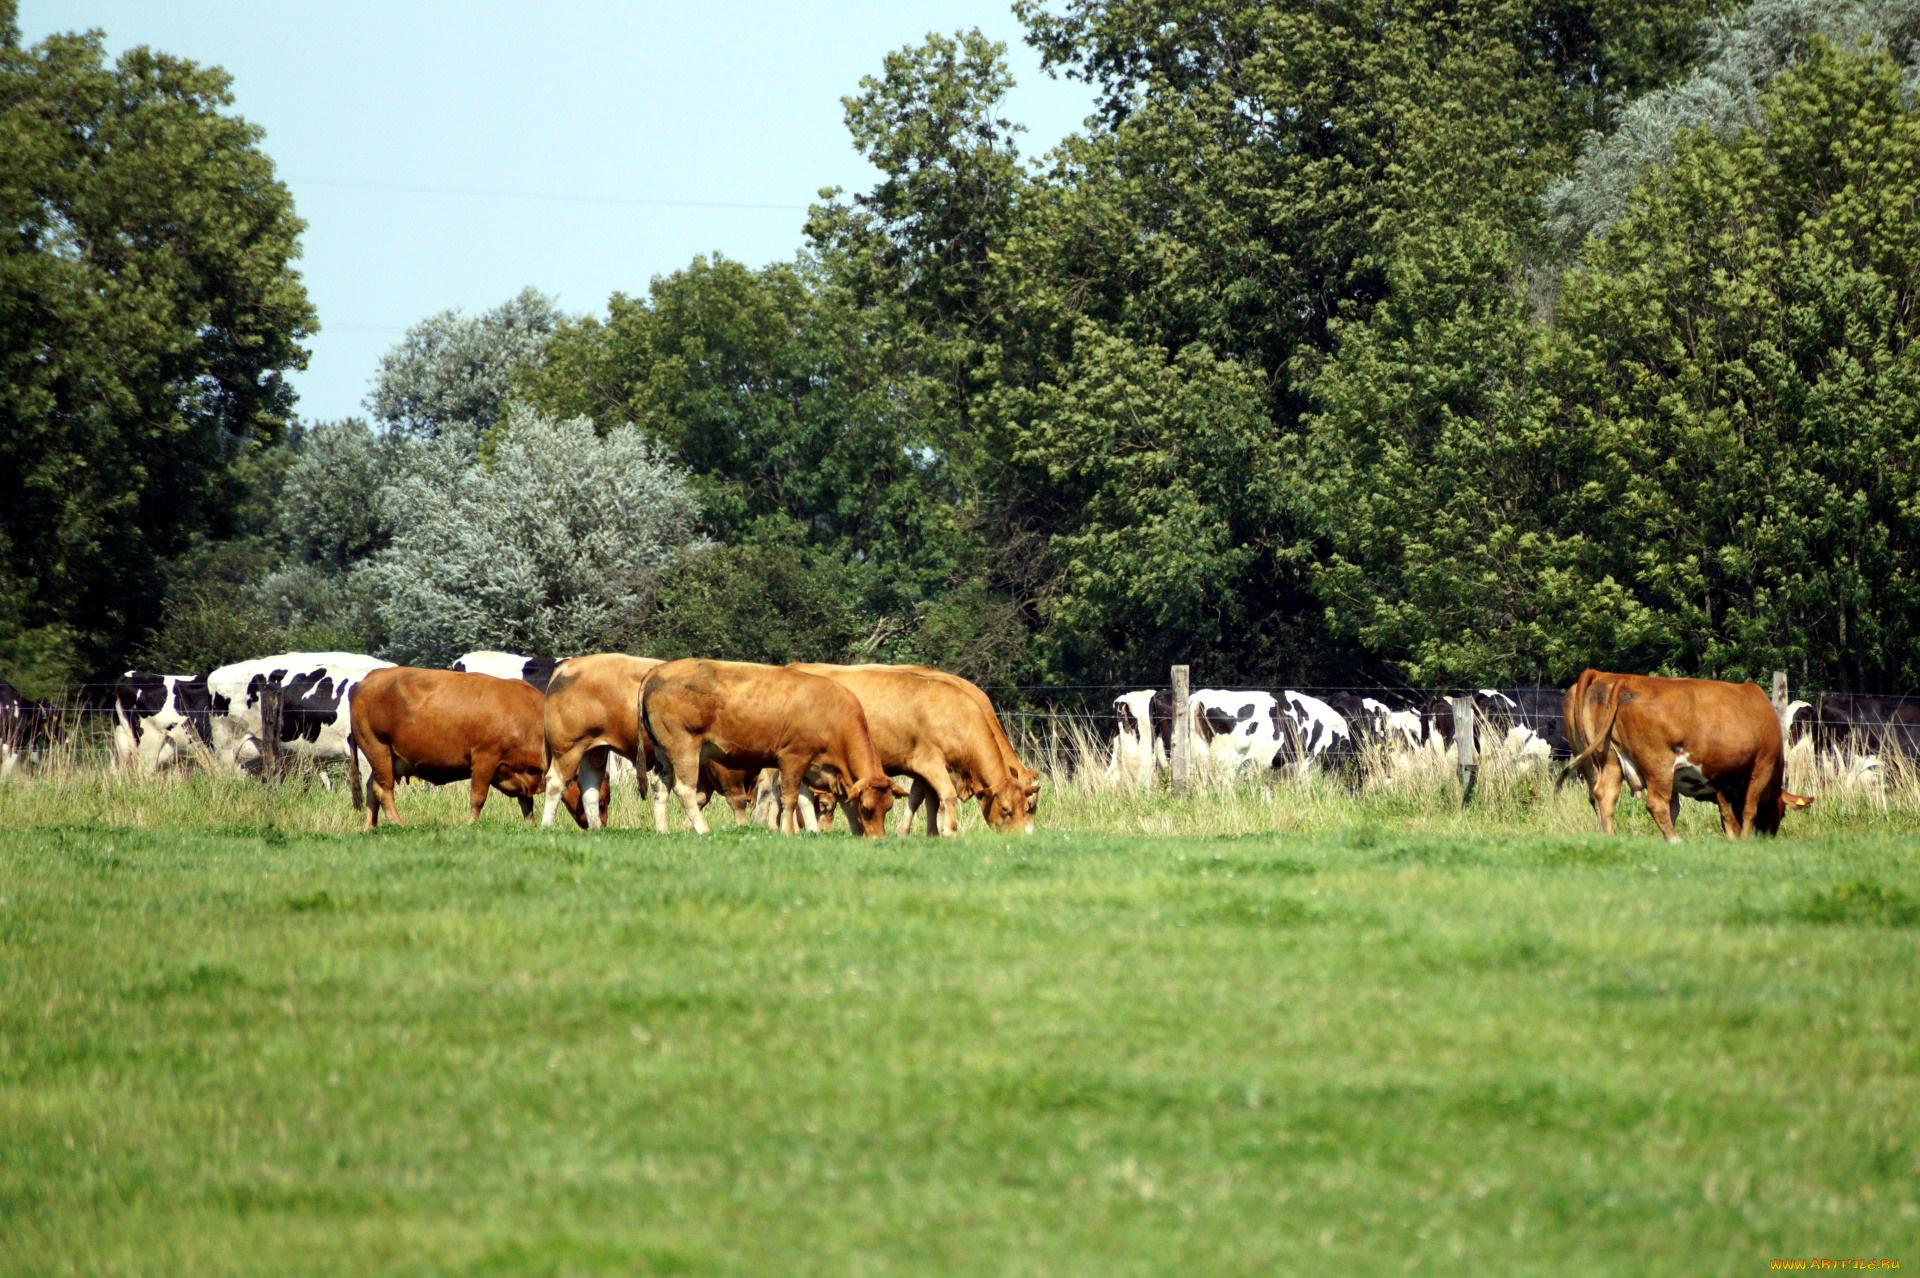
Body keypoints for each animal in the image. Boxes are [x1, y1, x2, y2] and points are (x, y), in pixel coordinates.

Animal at [349, 660, 579, 832]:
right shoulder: (485, 757)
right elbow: (478, 797)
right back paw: (398, 823)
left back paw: (369, 827)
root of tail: (366, 680)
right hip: (378, 748)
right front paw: (472, 824)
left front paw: (529, 826)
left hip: (386, 759)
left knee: (371, 787)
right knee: (383, 789)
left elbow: (526, 802)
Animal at [633, 660, 894, 832]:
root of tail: (659, 669)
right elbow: (789, 797)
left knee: (661, 788)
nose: (877, 838)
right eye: (867, 808)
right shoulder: (793, 757)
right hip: (684, 749)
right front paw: (787, 831)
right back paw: (703, 829)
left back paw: (663, 830)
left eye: (888, 808)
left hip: (663, 753)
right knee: (684, 790)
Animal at [791, 660, 1044, 832]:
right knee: (801, 794)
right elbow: (928, 798)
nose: (1025, 837)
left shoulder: (925, 770)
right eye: (1006, 809)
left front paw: (930, 832)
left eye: (1027, 805)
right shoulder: (928, 763)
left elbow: (926, 799)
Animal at [1559, 667, 1812, 836]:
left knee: (1604, 797)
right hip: (1658, 764)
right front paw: (1744, 839)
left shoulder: (1718, 779)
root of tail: (1616, 677)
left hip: (1609, 759)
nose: (1769, 835)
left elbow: (1725, 815)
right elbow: (1748, 809)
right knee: (1656, 804)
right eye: (1783, 811)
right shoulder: (1762, 766)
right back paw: (1674, 840)